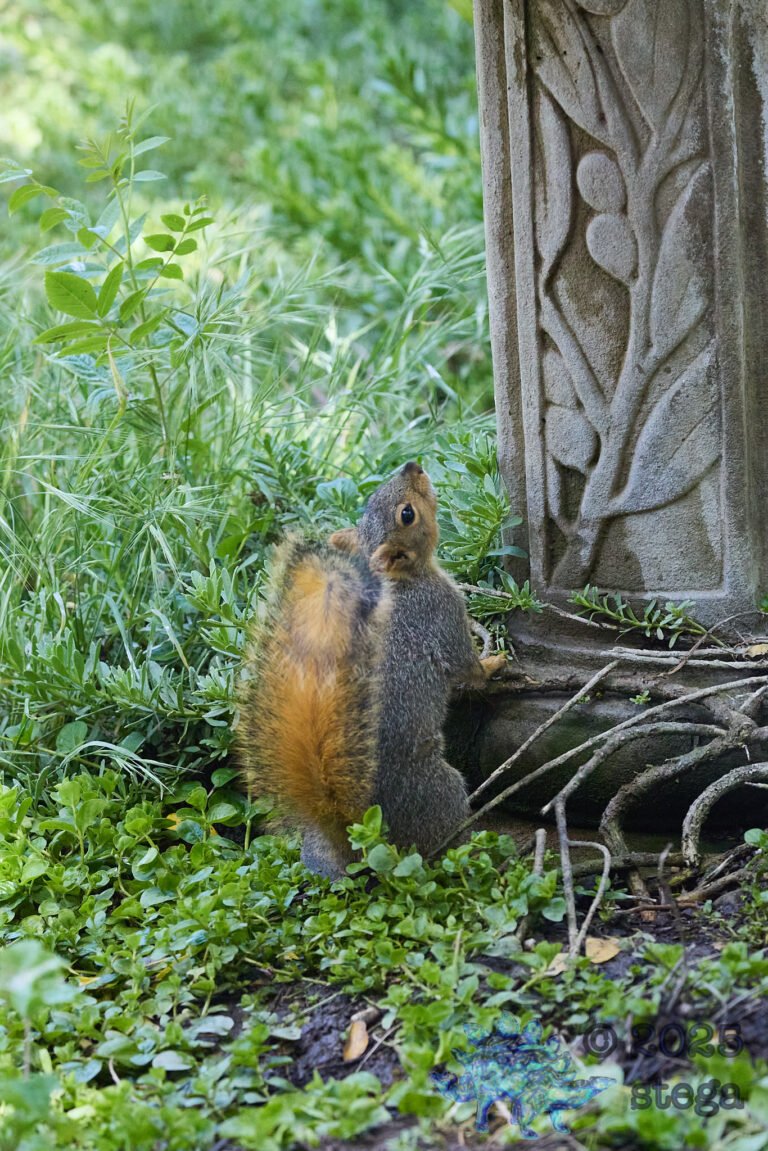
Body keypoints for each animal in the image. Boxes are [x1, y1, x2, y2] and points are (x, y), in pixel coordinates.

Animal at [237, 461, 506, 877]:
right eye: (407, 514)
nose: (413, 466)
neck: (400, 580)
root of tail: (356, 831)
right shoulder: (440, 610)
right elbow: (465, 667)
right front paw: (494, 661)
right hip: (438, 792)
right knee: (434, 848)